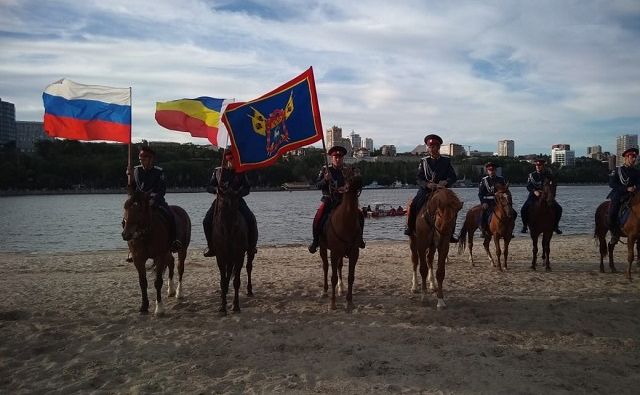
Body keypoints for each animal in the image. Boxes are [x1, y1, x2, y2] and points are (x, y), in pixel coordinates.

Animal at [211, 184, 258, 314]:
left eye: (237, 204)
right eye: (222, 204)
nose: (234, 227)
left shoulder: (239, 255)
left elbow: (236, 281)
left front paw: (235, 305)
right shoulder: (220, 256)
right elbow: (222, 280)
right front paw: (222, 306)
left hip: (250, 251)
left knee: (249, 267)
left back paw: (249, 290)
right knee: (228, 271)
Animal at [318, 166, 362, 310]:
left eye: (360, 171)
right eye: (348, 174)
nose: (358, 179)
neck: (346, 220)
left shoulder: (354, 252)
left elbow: (351, 276)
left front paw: (349, 301)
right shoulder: (334, 252)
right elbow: (333, 277)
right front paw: (332, 303)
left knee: (339, 266)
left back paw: (341, 288)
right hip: (323, 248)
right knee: (326, 267)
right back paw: (325, 291)